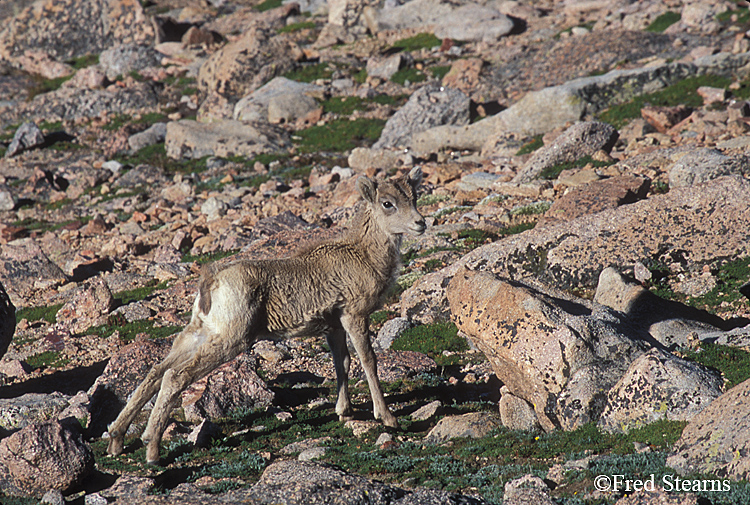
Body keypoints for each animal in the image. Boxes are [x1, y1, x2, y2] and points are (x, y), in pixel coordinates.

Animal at [107, 166, 426, 464]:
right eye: (387, 203)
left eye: (414, 196)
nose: (421, 223)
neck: (365, 256)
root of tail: (210, 283)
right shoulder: (353, 315)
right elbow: (368, 361)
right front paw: (388, 418)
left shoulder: (333, 326)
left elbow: (343, 363)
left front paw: (344, 413)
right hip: (232, 338)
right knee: (175, 376)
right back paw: (151, 450)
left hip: (200, 332)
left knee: (156, 371)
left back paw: (117, 440)